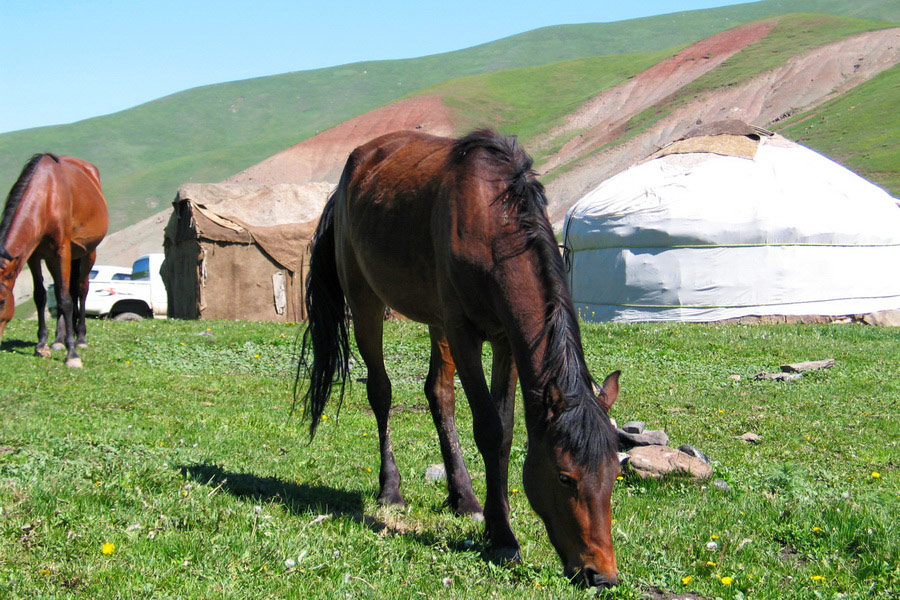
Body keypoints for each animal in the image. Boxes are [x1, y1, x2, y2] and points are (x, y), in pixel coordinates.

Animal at [0, 152, 108, 368]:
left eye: (2, 301)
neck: (46, 196)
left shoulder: (62, 251)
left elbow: (66, 300)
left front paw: (72, 354)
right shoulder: (34, 256)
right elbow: (41, 296)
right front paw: (42, 344)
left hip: (87, 253)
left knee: (81, 290)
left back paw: (80, 338)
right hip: (55, 259)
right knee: (60, 291)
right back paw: (59, 340)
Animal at [298, 130, 624, 584]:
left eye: (615, 474)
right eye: (565, 477)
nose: (601, 574)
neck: (492, 222)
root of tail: (351, 172)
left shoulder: (505, 340)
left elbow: (505, 430)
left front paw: (490, 515)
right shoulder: (464, 332)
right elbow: (488, 428)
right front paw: (502, 536)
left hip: (435, 321)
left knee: (439, 394)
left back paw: (463, 497)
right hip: (366, 302)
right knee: (381, 392)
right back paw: (391, 489)